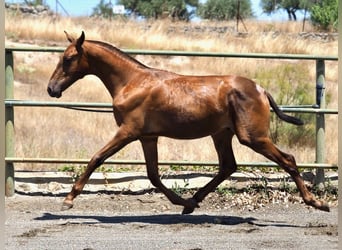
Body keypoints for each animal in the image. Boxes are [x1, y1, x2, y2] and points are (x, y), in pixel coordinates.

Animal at [47, 31, 328, 214]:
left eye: (68, 59)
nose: (52, 89)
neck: (132, 82)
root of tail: (261, 89)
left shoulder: (128, 131)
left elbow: (97, 158)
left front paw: (69, 199)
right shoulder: (148, 136)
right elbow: (153, 175)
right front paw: (185, 203)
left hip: (253, 137)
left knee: (287, 160)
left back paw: (316, 202)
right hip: (222, 134)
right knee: (228, 166)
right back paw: (194, 200)